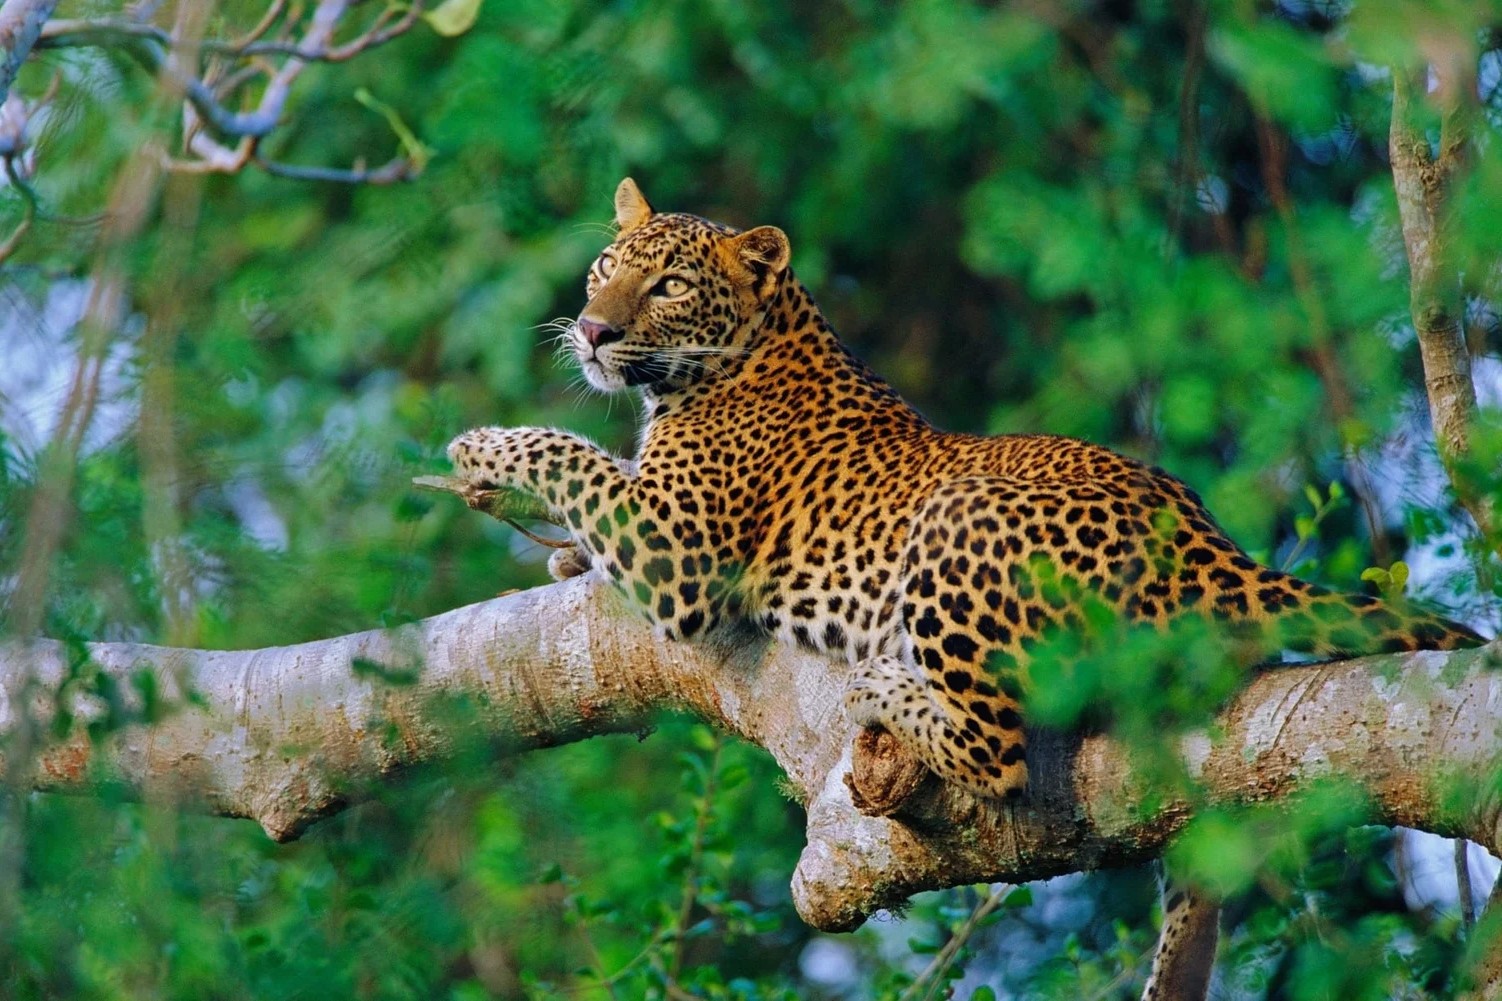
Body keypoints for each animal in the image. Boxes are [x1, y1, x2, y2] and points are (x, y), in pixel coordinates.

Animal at [449, 177, 1484, 808]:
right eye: (603, 269)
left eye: (665, 285)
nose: (589, 329)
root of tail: (1207, 543)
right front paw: (561, 552)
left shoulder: (678, 545)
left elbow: (576, 454)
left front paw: (483, 445)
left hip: (956, 521)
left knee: (1000, 753)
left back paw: (886, 685)